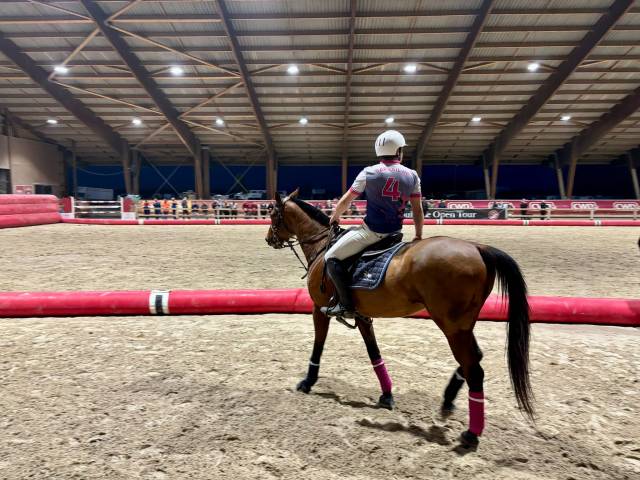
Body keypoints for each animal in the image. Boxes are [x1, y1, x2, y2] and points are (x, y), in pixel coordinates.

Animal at [265, 189, 533, 447]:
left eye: (272, 214)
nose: (269, 239)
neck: (323, 246)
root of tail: (478, 248)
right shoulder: (362, 315)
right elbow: (374, 353)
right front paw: (387, 395)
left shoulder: (319, 308)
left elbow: (318, 346)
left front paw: (307, 381)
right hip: (463, 325)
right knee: (473, 358)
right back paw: (448, 402)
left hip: (451, 325)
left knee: (474, 369)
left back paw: (471, 432)